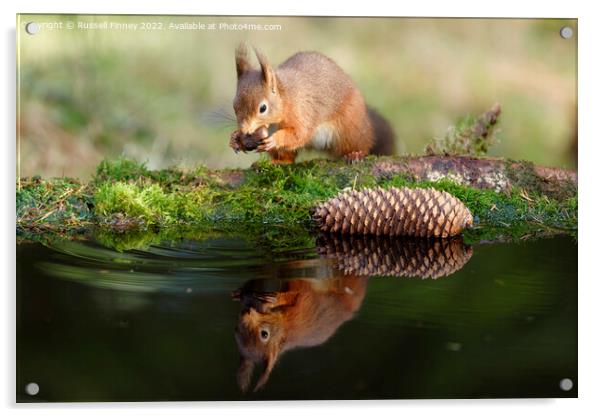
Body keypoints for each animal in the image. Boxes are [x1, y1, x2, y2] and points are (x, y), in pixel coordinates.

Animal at [227, 43, 392, 164]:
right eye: (234, 106)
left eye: (263, 108)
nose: (245, 130)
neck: (286, 97)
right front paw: (235, 138)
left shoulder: (302, 111)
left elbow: (299, 133)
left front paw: (275, 139)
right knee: (288, 158)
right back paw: (278, 162)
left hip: (351, 128)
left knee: (361, 144)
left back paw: (355, 154)